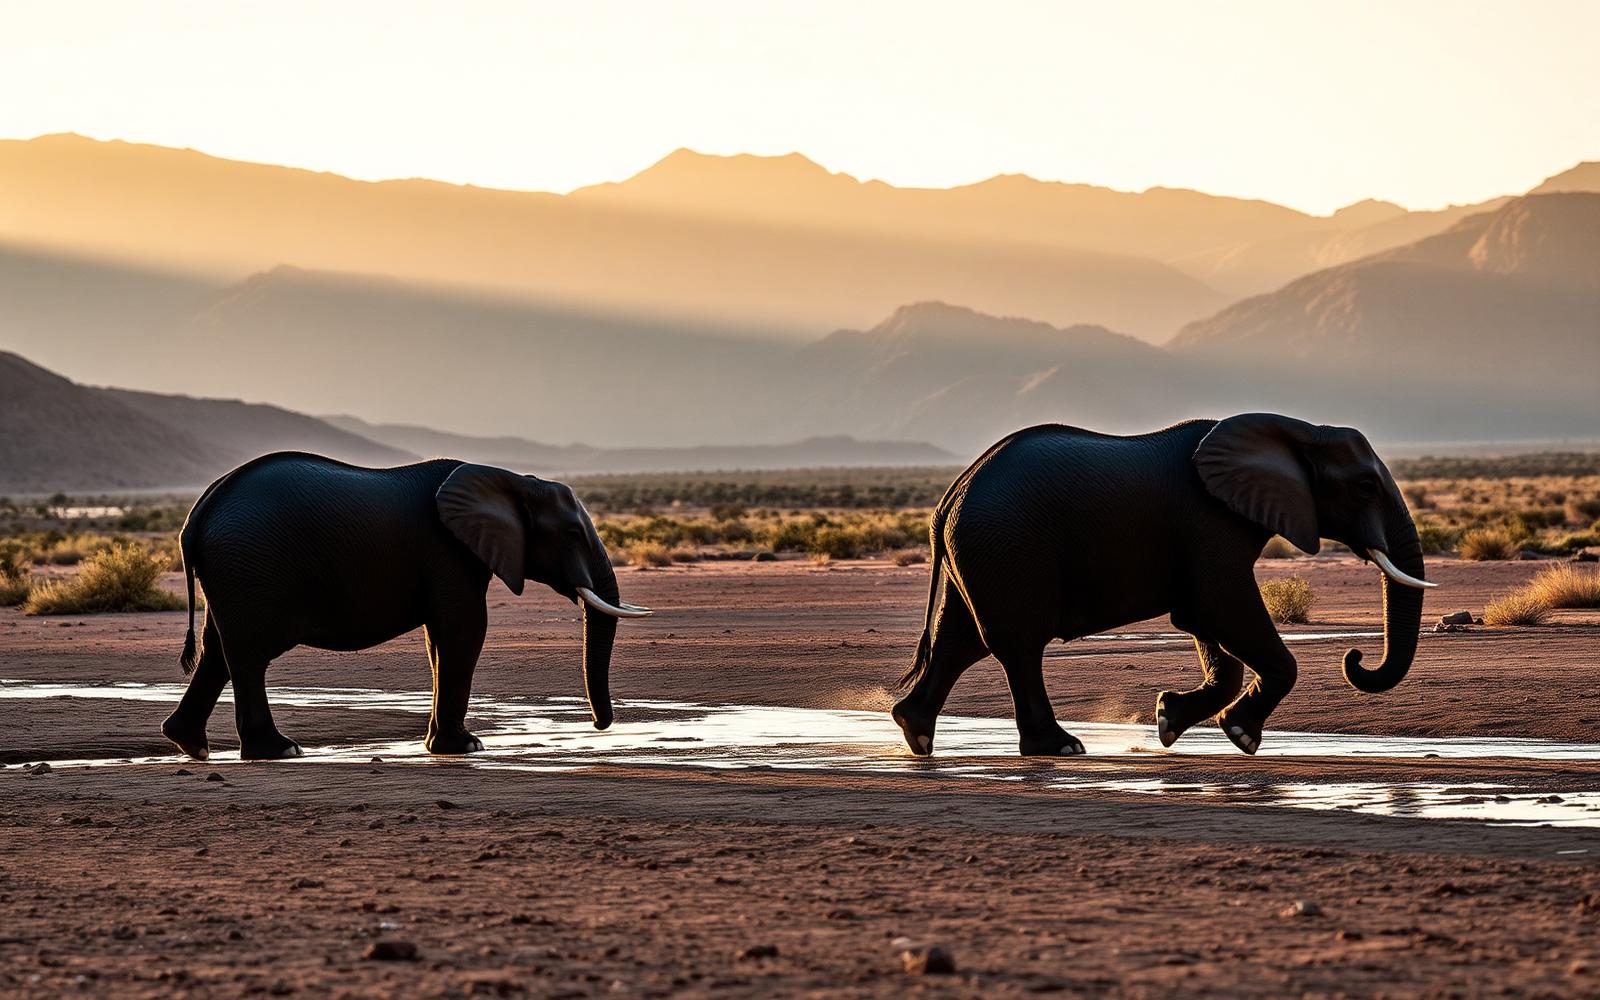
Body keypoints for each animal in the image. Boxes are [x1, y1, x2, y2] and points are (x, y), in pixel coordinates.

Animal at [160, 452, 652, 761]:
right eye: (571, 534)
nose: (600, 726)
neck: (512, 482)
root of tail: (196, 518)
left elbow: (442, 638)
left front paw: (444, 747)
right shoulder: (449, 552)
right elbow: (464, 629)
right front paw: (467, 747)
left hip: (232, 575)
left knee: (217, 651)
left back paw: (192, 745)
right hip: (248, 568)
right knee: (248, 654)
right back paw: (281, 750)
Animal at [890, 413, 1434, 758]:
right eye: (1364, 487)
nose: (1355, 658)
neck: (1296, 431)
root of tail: (949, 498)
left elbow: (1205, 622)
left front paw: (1169, 720)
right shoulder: (1210, 521)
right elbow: (1219, 606)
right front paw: (1241, 736)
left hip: (980, 554)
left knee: (959, 641)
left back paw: (916, 734)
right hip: (1007, 548)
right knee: (1017, 645)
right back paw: (1061, 747)